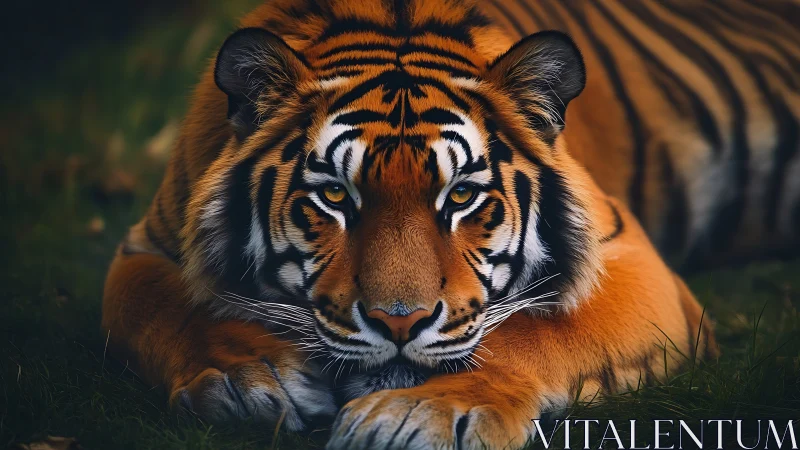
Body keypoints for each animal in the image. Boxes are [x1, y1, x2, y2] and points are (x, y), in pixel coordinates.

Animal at [101, 0, 798, 448]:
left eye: (461, 196)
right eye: (334, 195)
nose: (399, 323)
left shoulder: (632, 261)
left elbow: (532, 334)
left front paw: (418, 414)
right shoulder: (146, 246)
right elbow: (166, 308)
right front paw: (251, 377)